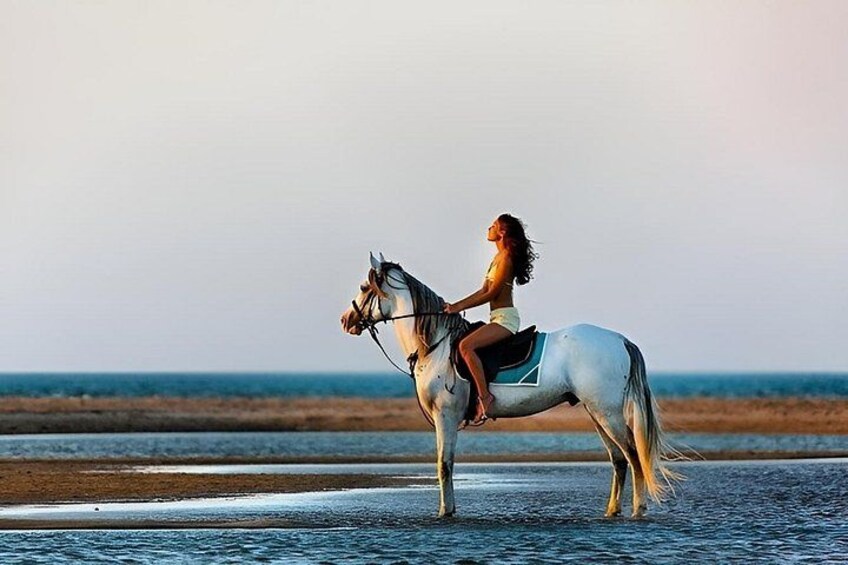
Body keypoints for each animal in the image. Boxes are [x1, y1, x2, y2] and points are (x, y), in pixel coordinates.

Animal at [340, 253, 680, 518]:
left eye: (363, 288)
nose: (346, 320)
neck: (436, 344)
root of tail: (619, 339)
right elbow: (445, 464)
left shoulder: (445, 414)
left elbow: (444, 464)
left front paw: (445, 512)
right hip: (597, 413)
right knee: (619, 460)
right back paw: (612, 510)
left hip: (607, 413)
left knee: (633, 456)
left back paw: (638, 509)